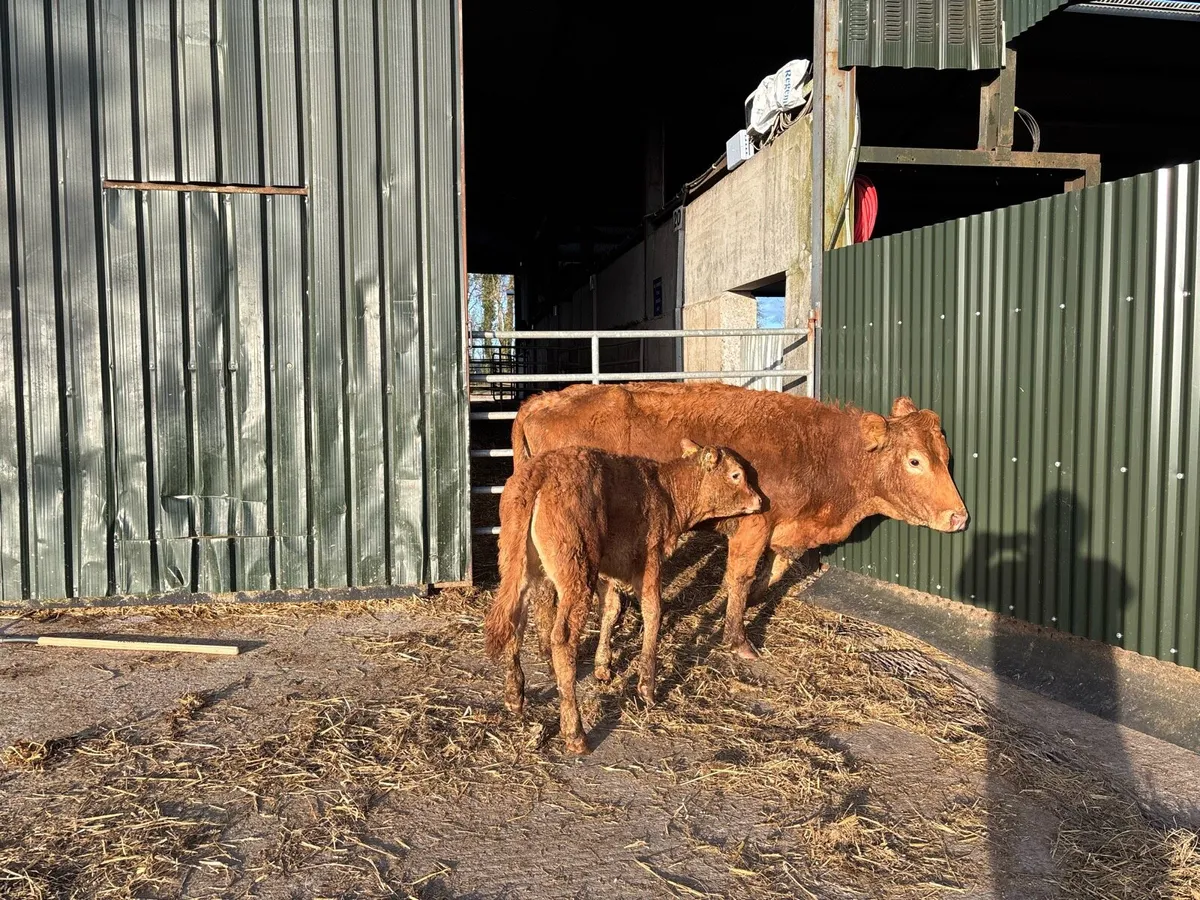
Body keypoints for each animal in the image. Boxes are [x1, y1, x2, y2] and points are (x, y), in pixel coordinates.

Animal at [483, 440, 763, 754]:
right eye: (737, 475)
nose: (760, 501)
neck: (665, 492)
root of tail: (540, 471)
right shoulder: (650, 559)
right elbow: (653, 612)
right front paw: (647, 687)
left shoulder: (609, 570)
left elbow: (611, 608)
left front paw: (603, 666)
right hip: (577, 569)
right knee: (563, 638)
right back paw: (575, 733)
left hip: (517, 563)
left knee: (514, 619)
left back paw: (514, 697)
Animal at [511, 382, 968, 660]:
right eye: (915, 461)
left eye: (946, 457)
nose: (959, 517)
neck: (818, 449)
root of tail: (543, 400)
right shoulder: (755, 524)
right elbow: (742, 575)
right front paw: (738, 638)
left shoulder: (784, 532)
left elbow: (773, 570)